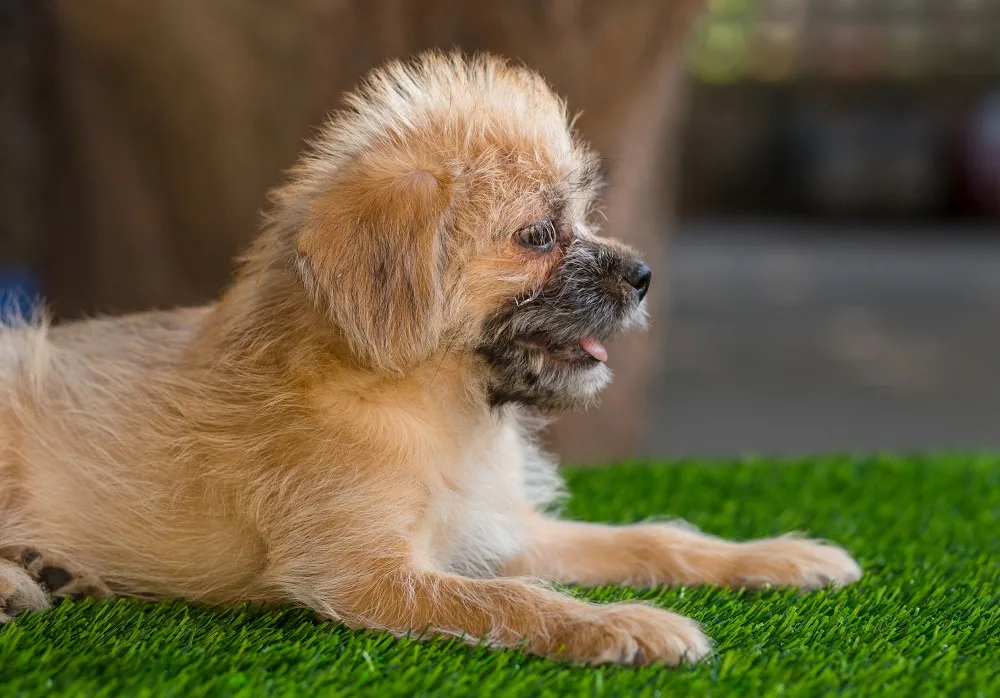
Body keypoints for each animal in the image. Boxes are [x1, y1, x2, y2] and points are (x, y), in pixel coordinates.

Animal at [0, 51, 860, 660]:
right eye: (537, 236)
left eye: (582, 217)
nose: (645, 276)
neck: (432, 407)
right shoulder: (369, 573)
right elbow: (517, 601)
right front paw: (626, 625)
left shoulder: (502, 529)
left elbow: (649, 538)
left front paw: (778, 556)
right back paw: (19, 583)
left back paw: (56, 570)